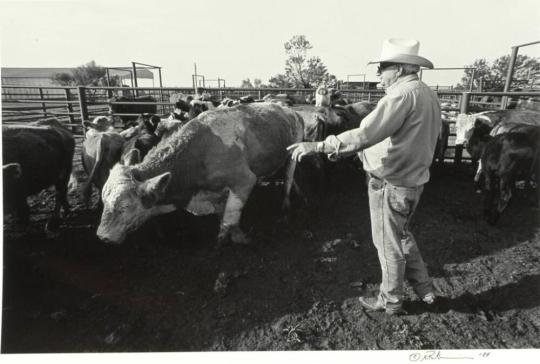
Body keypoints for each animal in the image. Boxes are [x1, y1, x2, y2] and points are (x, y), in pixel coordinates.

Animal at [94, 102, 304, 245]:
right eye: (104, 201)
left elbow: (230, 218)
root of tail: (288, 109)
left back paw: (286, 203)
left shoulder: (244, 181)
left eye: (125, 207)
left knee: (288, 177)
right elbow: (223, 216)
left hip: (293, 153)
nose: (102, 236)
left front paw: (234, 239)